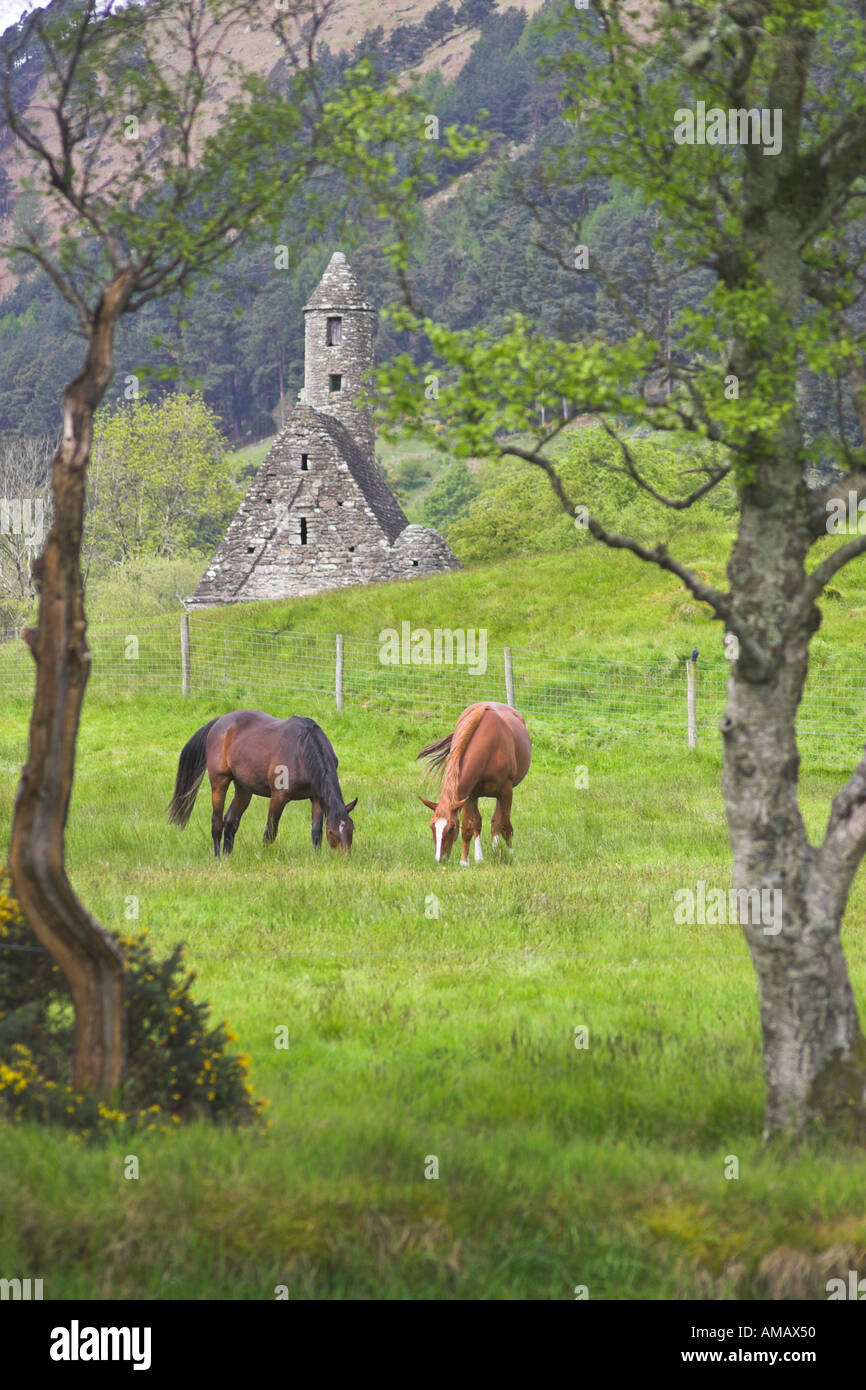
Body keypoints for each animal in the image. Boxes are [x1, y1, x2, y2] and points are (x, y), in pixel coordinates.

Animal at [167, 711, 358, 850]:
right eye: (332, 832)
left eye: (351, 829)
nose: (344, 858)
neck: (302, 749)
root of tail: (220, 721)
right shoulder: (278, 797)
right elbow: (270, 832)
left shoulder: (317, 797)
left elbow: (316, 832)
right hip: (219, 782)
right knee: (217, 824)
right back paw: (218, 857)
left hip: (244, 789)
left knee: (230, 822)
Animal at [419, 700, 530, 861]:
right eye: (431, 826)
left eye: (451, 828)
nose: (440, 859)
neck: (491, 745)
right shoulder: (469, 795)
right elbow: (469, 826)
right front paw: (465, 861)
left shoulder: (506, 791)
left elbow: (506, 826)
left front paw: (511, 855)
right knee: (484, 822)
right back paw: (482, 856)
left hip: (502, 794)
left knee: (497, 821)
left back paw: (496, 852)